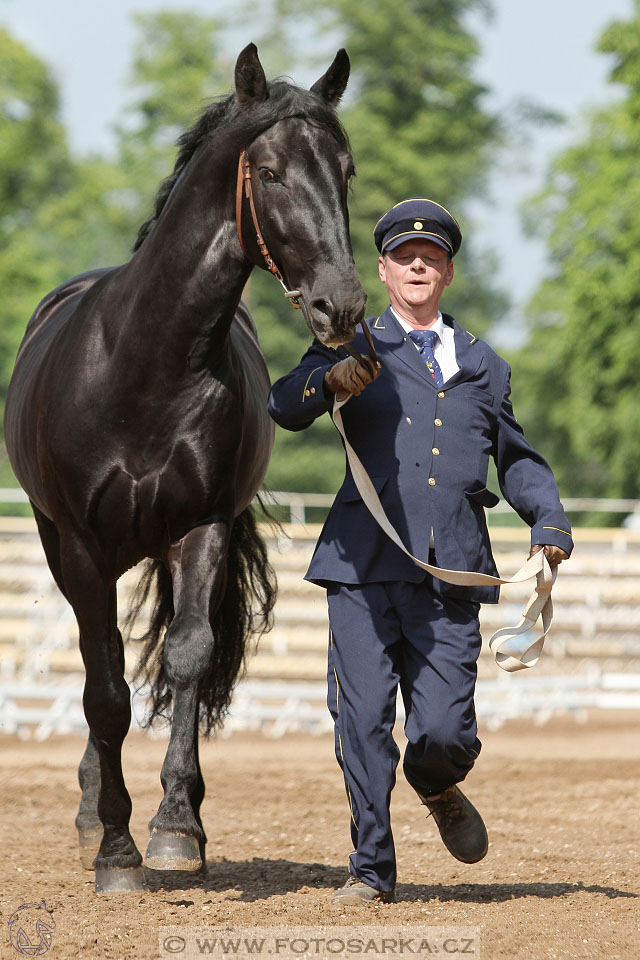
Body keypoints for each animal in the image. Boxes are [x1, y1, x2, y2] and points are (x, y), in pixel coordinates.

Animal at [3, 41, 364, 888]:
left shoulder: (202, 528)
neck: (148, 366)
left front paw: (173, 828)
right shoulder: (82, 548)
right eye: (270, 172)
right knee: (97, 666)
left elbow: (188, 658)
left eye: (346, 170)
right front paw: (115, 849)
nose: (341, 307)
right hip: (67, 548)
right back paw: (92, 814)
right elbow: (104, 688)